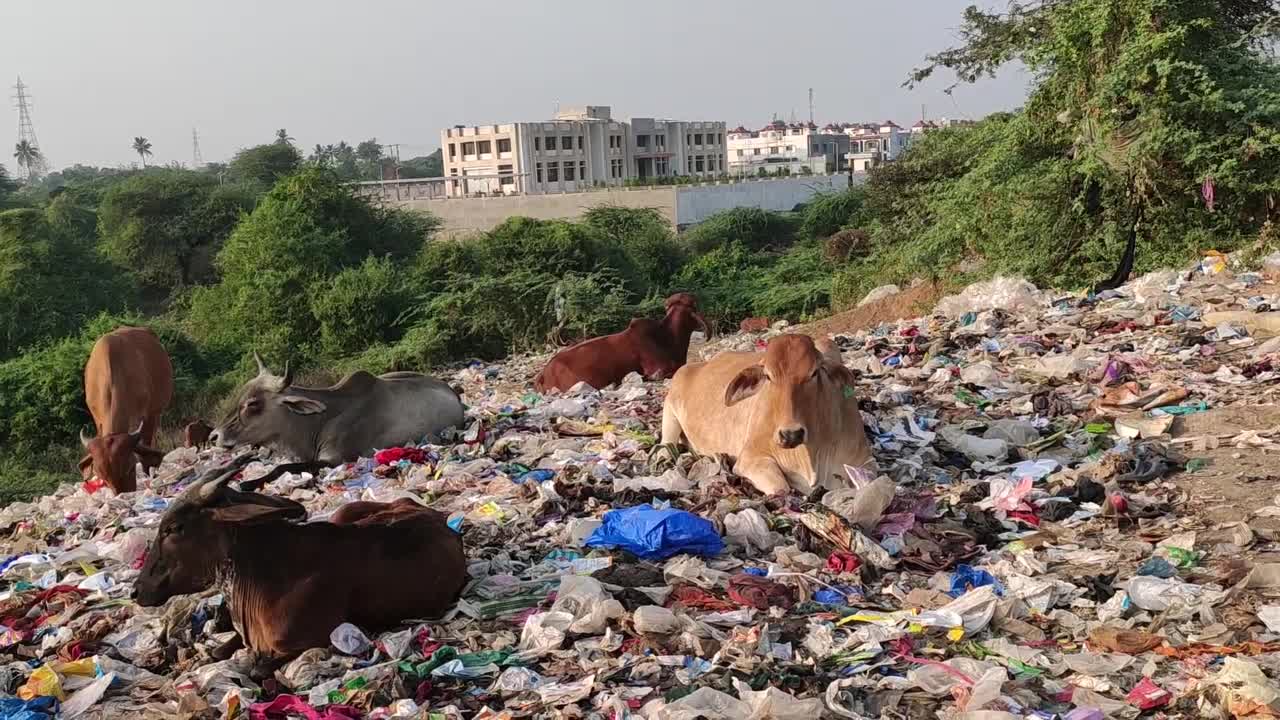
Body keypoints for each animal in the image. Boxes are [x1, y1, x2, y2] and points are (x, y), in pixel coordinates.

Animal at [660, 333, 880, 491]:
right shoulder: (750, 458)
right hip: (669, 412)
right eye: (768, 376)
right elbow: (780, 487)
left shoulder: (864, 462)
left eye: (814, 372)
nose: (791, 434)